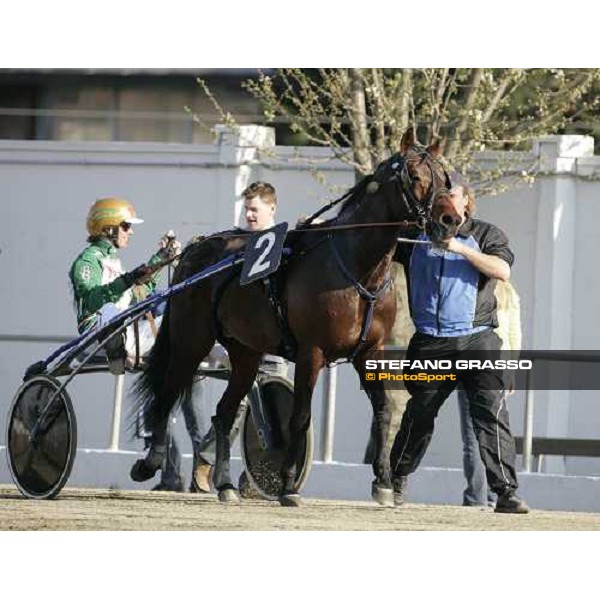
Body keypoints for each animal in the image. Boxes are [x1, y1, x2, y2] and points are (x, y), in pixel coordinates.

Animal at [131, 130, 454, 506]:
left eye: (444, 176)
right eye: (415, 177)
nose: (450, 220)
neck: (356, 266)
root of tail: (195, 250)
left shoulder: (369, 351)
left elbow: (384, 410)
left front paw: (384, 482)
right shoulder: (311, 352)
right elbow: (299, 416)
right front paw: (287, 484)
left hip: (245, 351)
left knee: (224, 412)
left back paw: (225, 485)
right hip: (191, 340)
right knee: (168, 391)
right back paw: (150, 462)